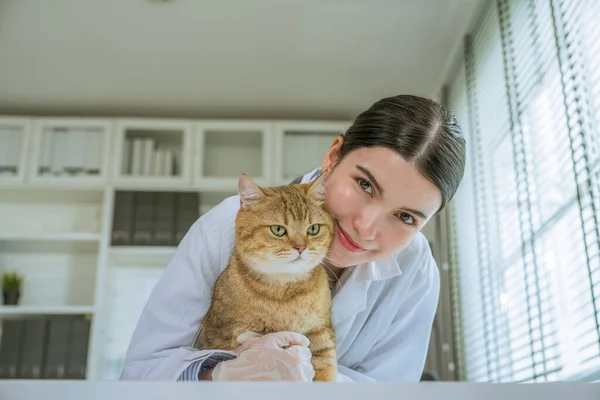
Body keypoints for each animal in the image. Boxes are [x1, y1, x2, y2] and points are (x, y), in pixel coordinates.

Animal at [196, 173, 338, 382]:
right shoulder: (222, 335)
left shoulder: (321, 330)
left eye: (313, 229)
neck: (285, 293)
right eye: (278, 230)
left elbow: (325, 365)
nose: (301, 247)